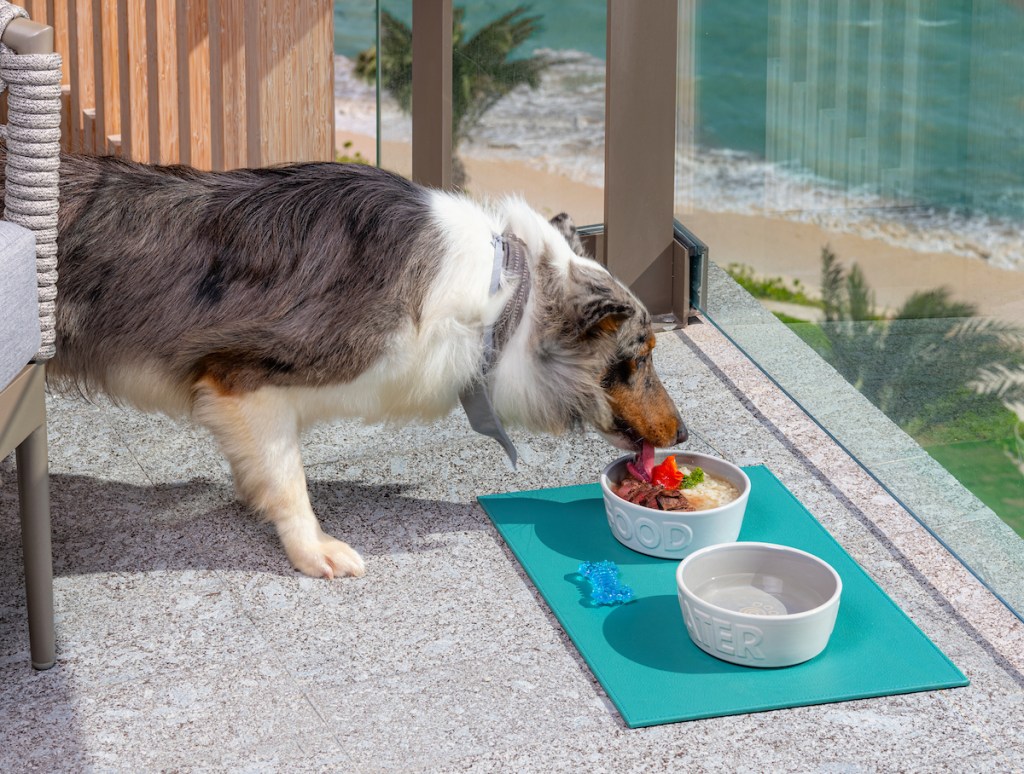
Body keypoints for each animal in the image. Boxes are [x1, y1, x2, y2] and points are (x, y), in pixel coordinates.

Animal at [8, 154, 684, 581]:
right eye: (640, 356)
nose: (684, 434)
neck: (503, 301)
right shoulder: (244, 382)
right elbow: (290, 481)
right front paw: (313, 552)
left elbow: (262, 471)